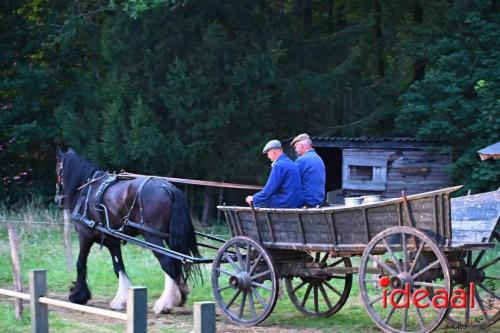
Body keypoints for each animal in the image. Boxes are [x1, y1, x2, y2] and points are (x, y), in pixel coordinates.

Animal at [55, 147, 200, 312]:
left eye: (58, 170)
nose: (57, 199)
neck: (87, 191)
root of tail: (168, 188)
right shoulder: (111, 241)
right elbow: (118, 266)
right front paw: (121, 299)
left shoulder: (85, 235)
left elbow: (80, 263)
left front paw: (78, 295)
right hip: (170, 237)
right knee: (178, 262)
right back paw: (180, 295)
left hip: (153, 237)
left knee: (168, 263)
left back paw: (164, 303)